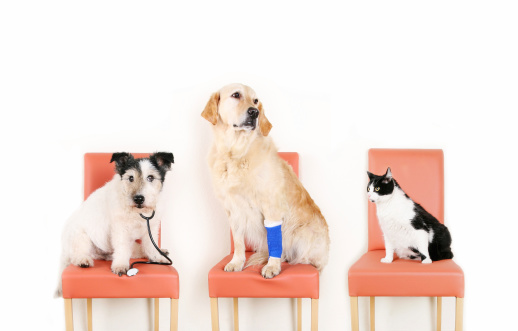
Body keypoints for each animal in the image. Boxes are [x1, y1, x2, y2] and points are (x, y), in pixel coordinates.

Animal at [56, 152, 175, 296]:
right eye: (130, 177)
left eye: (151, 177)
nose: (139, 198)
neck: (137, 212)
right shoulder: (120, 230)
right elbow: (122, 248)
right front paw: (120, 266)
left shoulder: (151, 228)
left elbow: (151, 246)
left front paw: (158, 257)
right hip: (80, 237)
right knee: (77, 254)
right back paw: (83, 261)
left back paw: (162, 251)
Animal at [202, 82, 330, 278]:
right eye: (236, 95)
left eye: (255, 100)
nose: (254, 112)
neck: (236, 153)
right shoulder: (233, 209)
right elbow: (238, 241)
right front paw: (237, 262)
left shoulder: (271, 206)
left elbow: (275, 242)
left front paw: (272, 267)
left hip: (302, 233)